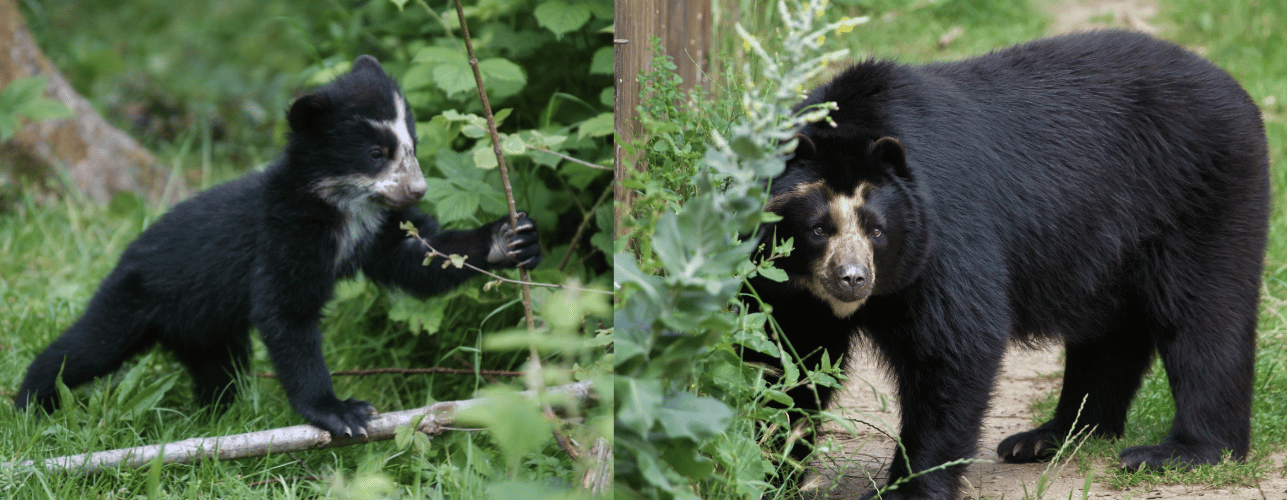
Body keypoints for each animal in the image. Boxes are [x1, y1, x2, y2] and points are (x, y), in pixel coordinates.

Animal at [15, 53, 540, 437]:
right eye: (376, 153)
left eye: (411, 145)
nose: (417, 190)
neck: (344, 208)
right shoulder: (286, 231)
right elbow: (286, 311)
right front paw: (342, 412)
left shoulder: (380, 230)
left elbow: (421, 257)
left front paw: (512, 238)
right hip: (134, 297)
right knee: (85, 349)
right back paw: (29, 404)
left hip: (206, 328)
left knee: (219, 371)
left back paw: (215, 417)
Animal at [751, 31, 1271, 498]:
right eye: (819, 228)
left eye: (877, 229)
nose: (852, 279)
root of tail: (1236, 88)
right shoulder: (791, 291)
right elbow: (785, 360)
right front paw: (770, 468)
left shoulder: (946, 231)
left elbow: (955, 346)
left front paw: (908, 488)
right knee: (1109, 334)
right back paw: (1049, 437)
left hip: (1202, 193)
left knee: (1205, 318)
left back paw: (1180, 451)